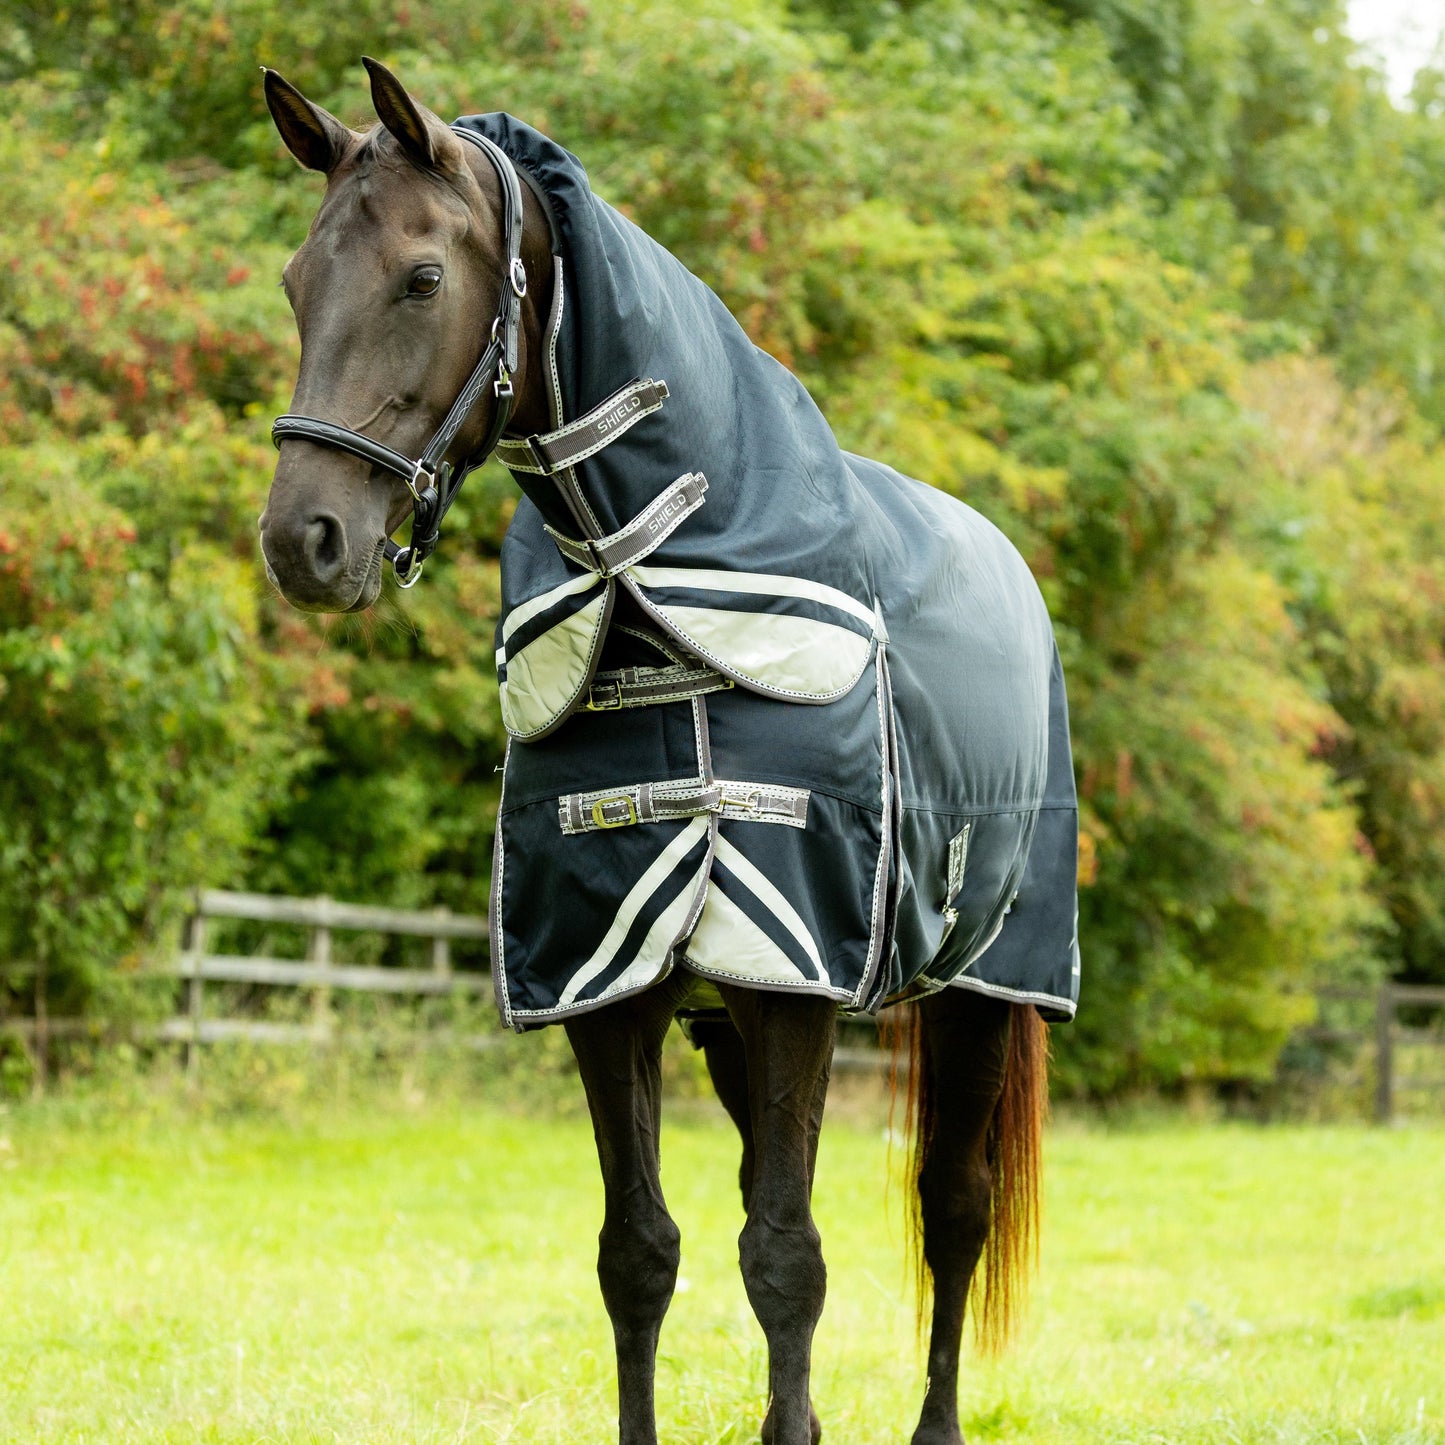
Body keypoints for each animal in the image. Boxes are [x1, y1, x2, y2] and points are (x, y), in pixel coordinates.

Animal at [257, 59, 1079, 1445]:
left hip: (982, 986)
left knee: (950, 1208)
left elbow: (786, 1255)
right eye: (295, 280)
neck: (660, 603)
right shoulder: (613, 981)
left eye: (419, 277)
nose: (304, 540)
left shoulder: (792, 978)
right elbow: (641, 1250)